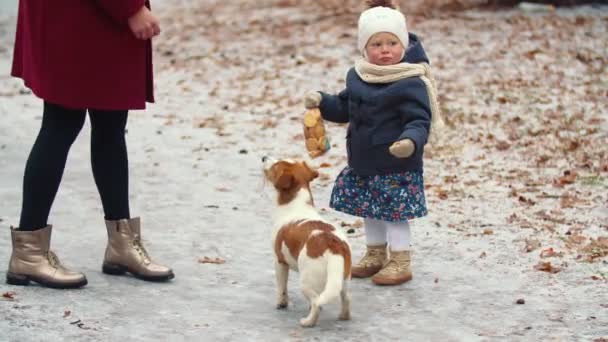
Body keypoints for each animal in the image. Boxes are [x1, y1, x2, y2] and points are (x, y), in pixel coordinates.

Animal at [262, 156, 352, 328]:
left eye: (276, 165)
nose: (264, 157)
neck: (296, 205)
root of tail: (334, 245)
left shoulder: (280, 262)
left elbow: (282, 288)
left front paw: (281, 303)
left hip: (306, 282)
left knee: (316, 302)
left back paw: (308, 321)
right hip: (342, 280)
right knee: (345, 298)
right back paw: (343, 316)